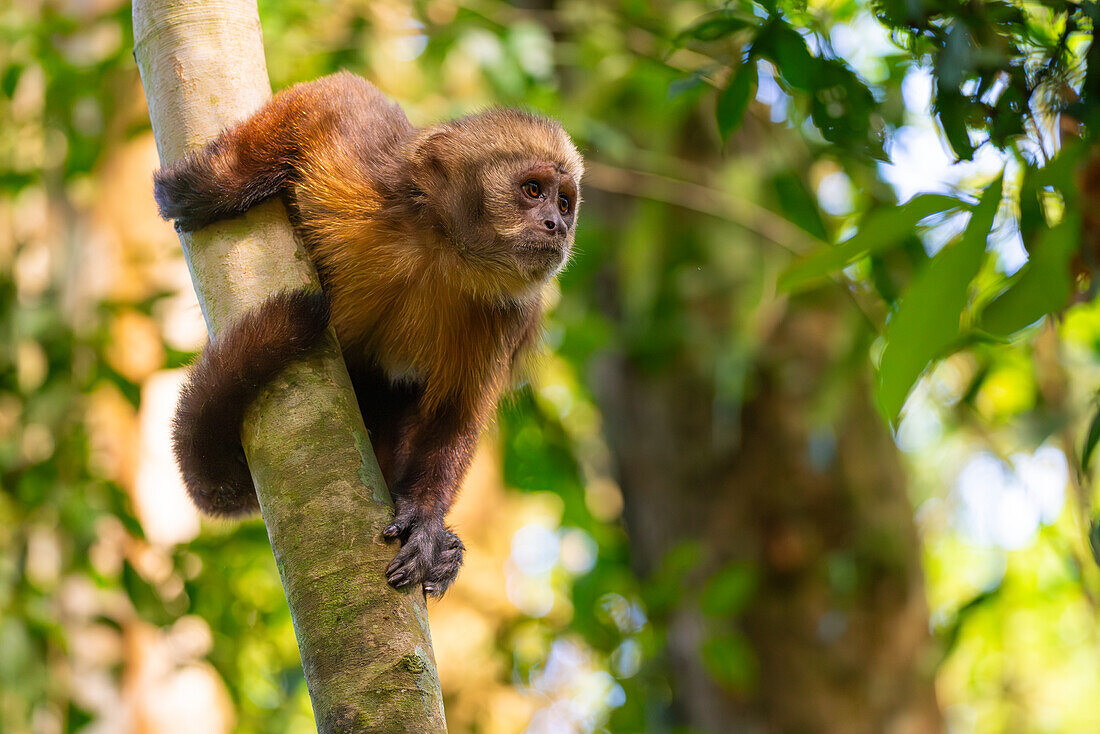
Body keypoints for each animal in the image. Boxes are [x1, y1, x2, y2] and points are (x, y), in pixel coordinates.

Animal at [157, 70, 585, 598]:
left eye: (564, 202)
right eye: (532, 190)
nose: (557, 225)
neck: (440, 249)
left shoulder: (510, 313)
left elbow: (455, 413)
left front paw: (425, 521)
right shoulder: (368, 171)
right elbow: (338, 95)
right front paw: (217, 185)